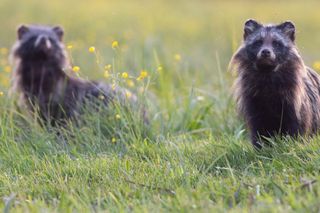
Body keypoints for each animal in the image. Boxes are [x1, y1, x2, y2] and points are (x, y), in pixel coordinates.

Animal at [10, 24, 138, 126]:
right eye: (32, 38)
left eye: (51, 39)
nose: (43, 40)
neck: (41, 66)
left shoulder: (63, 98)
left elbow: (64, 118)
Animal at [231, 20, 320, 149]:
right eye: (258, 42)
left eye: (276, 43)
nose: (265, 52)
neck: (267, 73)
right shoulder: (253, 100)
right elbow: (258, 126)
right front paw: (261, 147)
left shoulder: (295, 101)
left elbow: (297, 126)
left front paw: (292, 144)